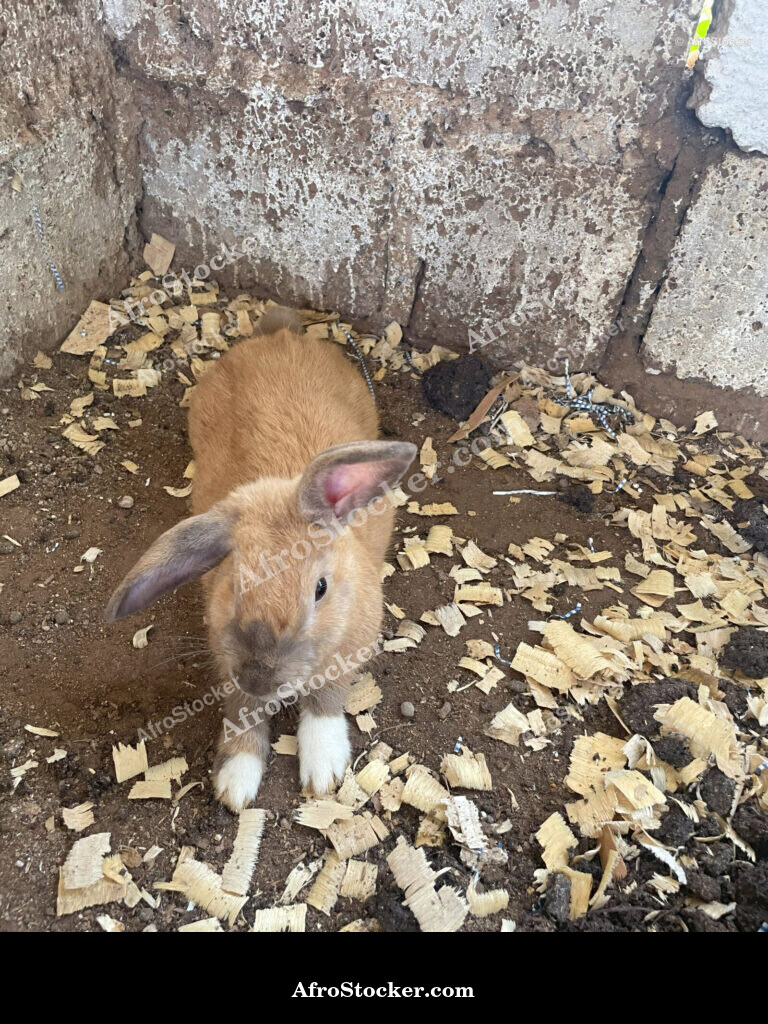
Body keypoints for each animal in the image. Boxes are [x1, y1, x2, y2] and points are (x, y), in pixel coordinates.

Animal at [105, 306, 416, 811]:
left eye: (320, 589)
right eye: (233, 582)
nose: (260, 677)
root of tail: (280, 336)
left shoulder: (346, 652)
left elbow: (325, 701)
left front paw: (322, 770)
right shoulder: (227, 664)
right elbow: (242, 711)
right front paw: (236, 782)